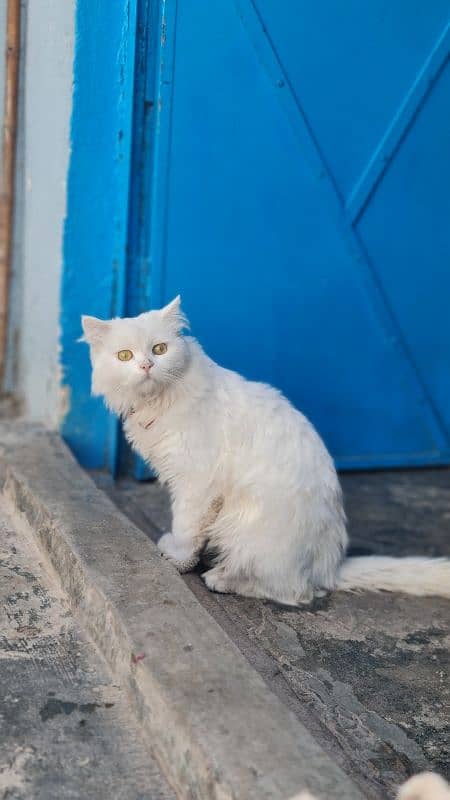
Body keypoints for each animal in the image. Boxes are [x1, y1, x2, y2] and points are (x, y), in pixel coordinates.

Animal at [81, 300, 450, 608]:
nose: (145, 365)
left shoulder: (197, 482)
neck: (158, 400)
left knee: (293, 593)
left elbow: (186, 527)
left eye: (159, 349)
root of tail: (330, 566)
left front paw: (178, 558)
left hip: (250, 530)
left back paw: (221, 579)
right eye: (125, 356)